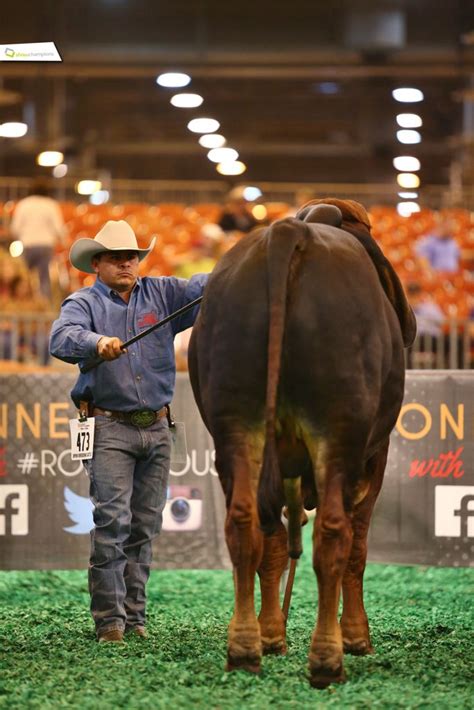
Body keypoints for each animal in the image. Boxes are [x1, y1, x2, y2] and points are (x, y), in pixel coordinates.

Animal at [187, 197, 416, 688]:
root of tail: (289, 234)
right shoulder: (376, 456)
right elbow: (357, 548)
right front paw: (356, 635)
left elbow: (273, 545)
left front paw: (272, 634)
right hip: (341, 429)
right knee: (334, 535)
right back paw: (328, 657)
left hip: (234, 424)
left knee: (244, 524)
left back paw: (244, 648)